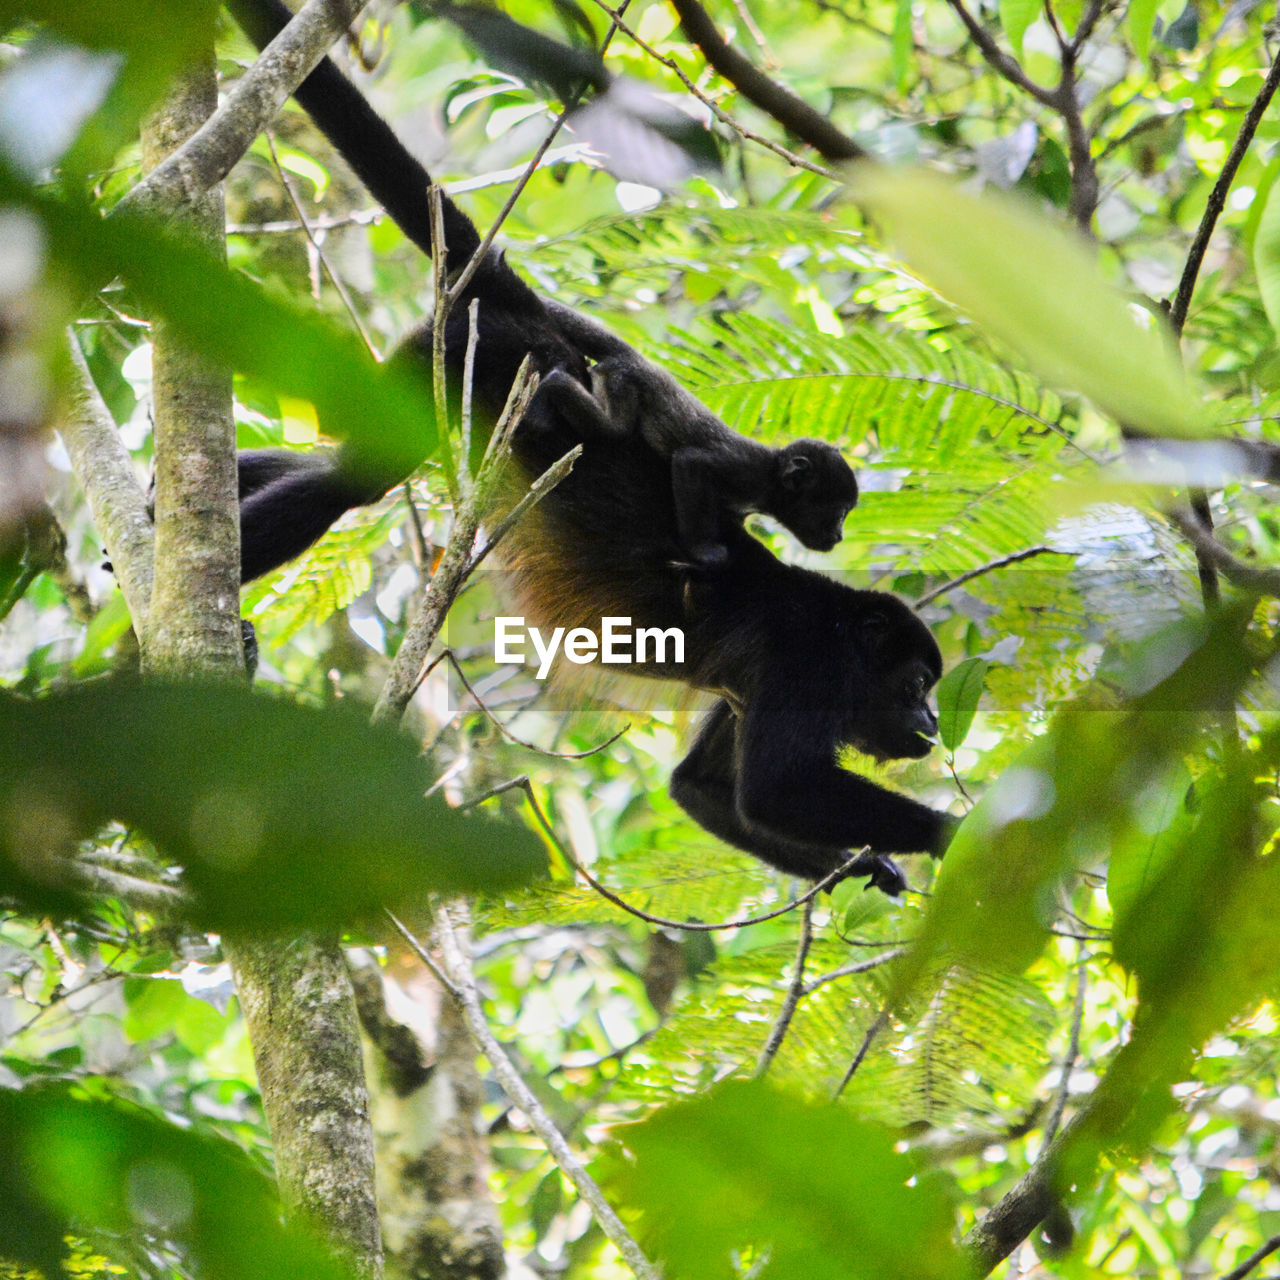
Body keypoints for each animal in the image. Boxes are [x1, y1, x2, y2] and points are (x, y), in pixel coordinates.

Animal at [542, 302, 860, 568]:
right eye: (839, 512)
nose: (839, 535)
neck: (771, 479)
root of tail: (639, 361)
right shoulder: (746, 470)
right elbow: (691, 460)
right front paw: (703, 553)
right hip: (622, 379)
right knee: (612, 431)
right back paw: (557, 382)